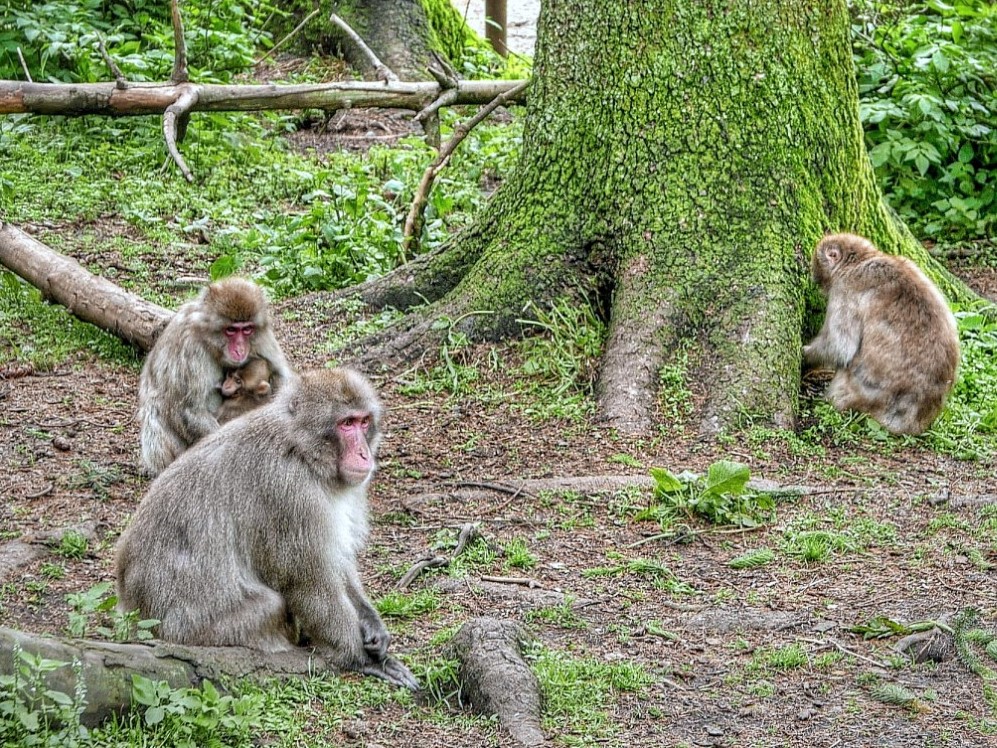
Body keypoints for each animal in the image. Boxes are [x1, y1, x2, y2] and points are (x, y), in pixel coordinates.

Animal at [800, 231, 956, 436]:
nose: (815, 281)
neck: (860, 260)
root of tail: (912, 424)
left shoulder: (844, 290)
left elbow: (840, 347)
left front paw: (805, 356)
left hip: (862, 396)